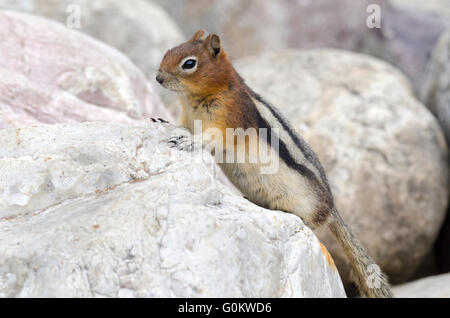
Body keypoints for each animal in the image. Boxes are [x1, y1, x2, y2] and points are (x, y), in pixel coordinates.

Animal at [156, 29, 392, 298]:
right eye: (169, 51)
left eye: (189, 63)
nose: (158, 78)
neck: (200, 96)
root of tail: (332, 209)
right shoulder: (188, 117)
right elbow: (180, 124)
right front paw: (163, 120)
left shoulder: (229, 119)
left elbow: (211, 138)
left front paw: (188, 139)